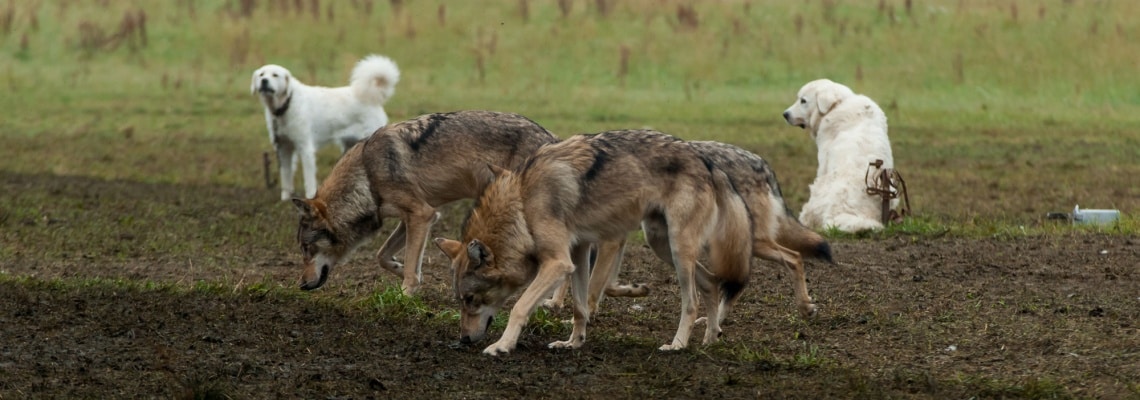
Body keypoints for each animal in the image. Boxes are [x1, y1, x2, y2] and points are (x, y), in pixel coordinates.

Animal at [250, 54, 401, 200]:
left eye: (275, 75)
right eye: (261, 75)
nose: (264, 81)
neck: (286, 104)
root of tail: (372, 97)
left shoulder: (305, 148)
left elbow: (309, 180)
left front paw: (310, 197)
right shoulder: (283, 148)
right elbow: (286, 177)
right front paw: (285, 198)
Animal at [291, 111, 558, 296]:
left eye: (306, 249)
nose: (301, 285)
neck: (367, 174)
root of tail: (552, 138)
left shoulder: (421, 215)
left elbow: (410, 264)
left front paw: (405, 294)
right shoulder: (413, 218)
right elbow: (383, 256)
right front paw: (401, 270)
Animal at [430, 129, 752, 355]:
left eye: (471, 299)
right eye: (461, 300)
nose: (464, 339)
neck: (521, 203)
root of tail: (707, 161)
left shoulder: (558, 262)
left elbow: (519, 307)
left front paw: (501, 346)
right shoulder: (579, 253)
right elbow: (579, 306)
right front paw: (573, 343)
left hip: (676, 250)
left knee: (692, 302)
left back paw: (678, 345)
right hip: (663, 245)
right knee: (711, 282)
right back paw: (711, 337)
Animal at [784, 78, 898, 233]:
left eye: (803, 101)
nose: (785, 114)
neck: (840, 103)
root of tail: (851, 213)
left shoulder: (823, 162)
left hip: (817, 192)